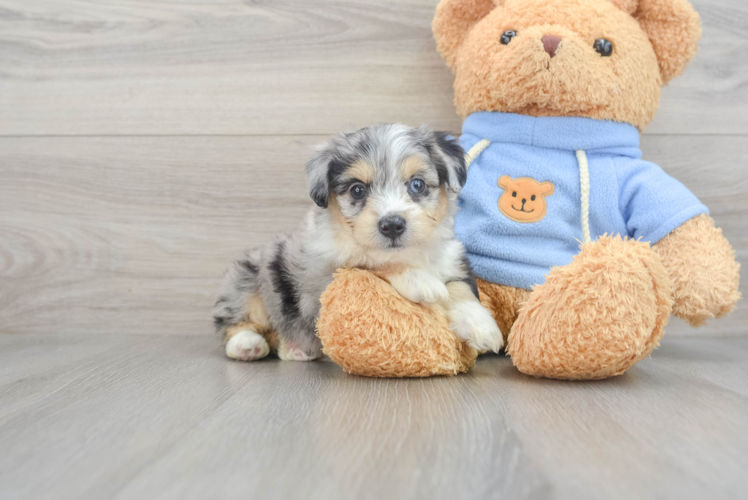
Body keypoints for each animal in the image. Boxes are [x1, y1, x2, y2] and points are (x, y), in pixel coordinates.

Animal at [212, 123, 502, 362]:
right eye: (357, 190)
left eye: (417, 184)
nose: (392, 225)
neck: (409, 253)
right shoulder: (322, 278)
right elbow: (370, 262)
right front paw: (421, 281)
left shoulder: (452, 260)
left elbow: (460, 290)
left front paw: (481, 325)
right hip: (248, 282)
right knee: (234, 320)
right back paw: (247, 344)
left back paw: (294, 350)